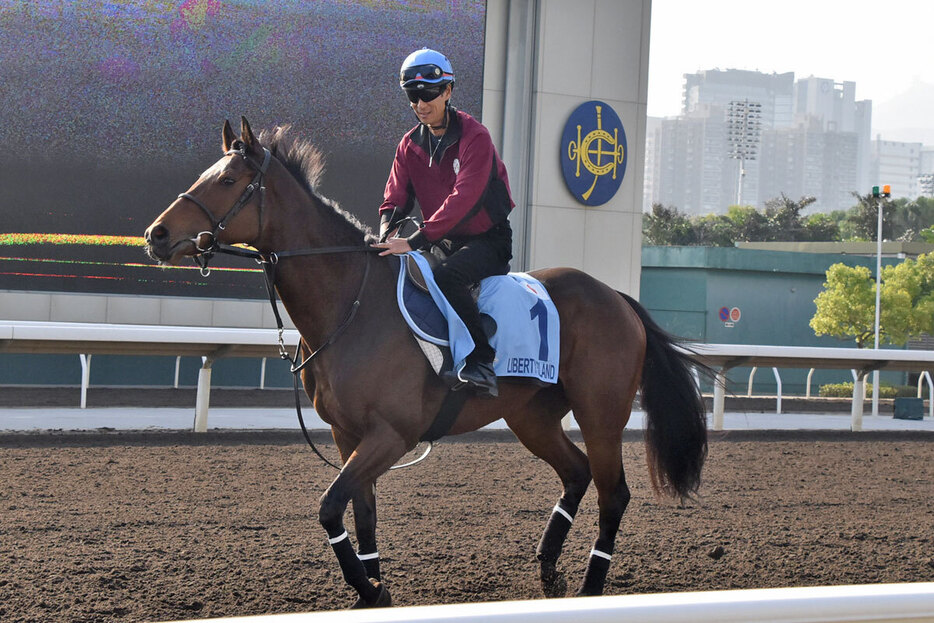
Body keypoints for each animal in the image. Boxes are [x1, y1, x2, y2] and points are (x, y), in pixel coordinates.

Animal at [143, 117, 704, 608]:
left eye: (228, 180)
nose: (156, 235)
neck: (351, 304)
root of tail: (615, 296)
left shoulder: (392, 434)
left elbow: (329, 508)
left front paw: (369, 589)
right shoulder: (349, 435)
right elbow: (362, 516)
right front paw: (373, 592)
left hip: (600, 413)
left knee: (614, 493)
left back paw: (589, 589)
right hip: (532, 415)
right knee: (577, 473)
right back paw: (548, 570)